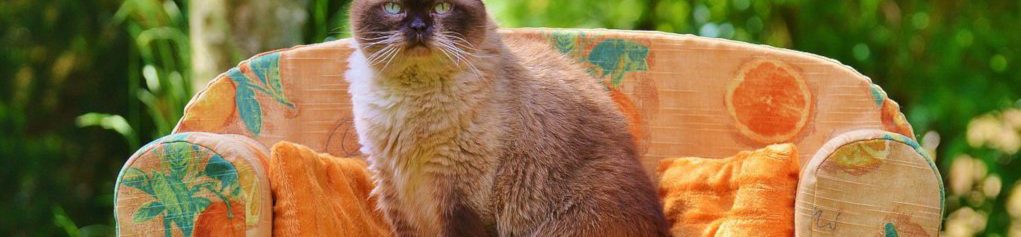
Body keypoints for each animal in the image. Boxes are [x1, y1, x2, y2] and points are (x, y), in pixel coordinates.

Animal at [347, 0, 669, 235]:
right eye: (393, 8)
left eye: (442, 7)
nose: (418, 27)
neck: (412, 102)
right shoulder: (393, 189)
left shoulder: (459, 196)